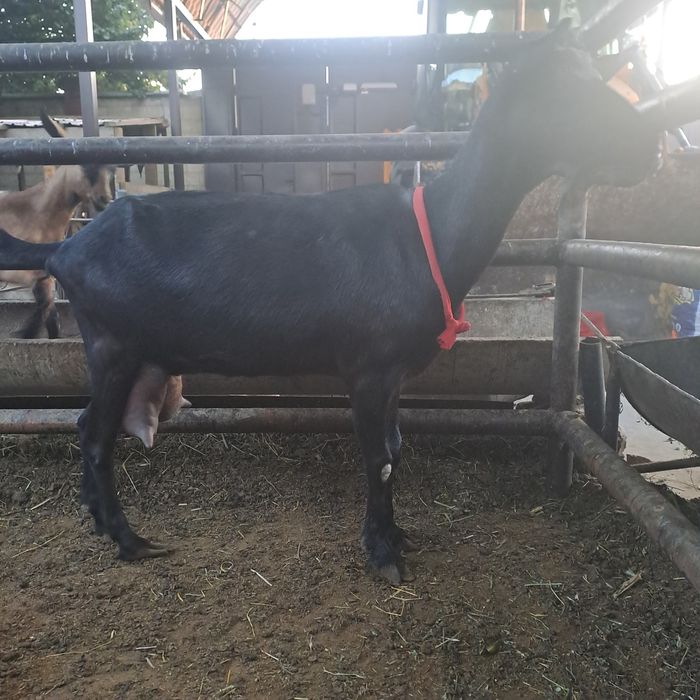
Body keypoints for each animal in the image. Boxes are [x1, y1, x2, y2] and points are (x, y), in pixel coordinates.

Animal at [0, 111, 112, 338]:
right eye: (83, 164)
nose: (105, 199)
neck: (37, 212)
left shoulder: (44, 276)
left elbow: (50, 318)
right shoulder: (33, 275)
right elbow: (45, 316)